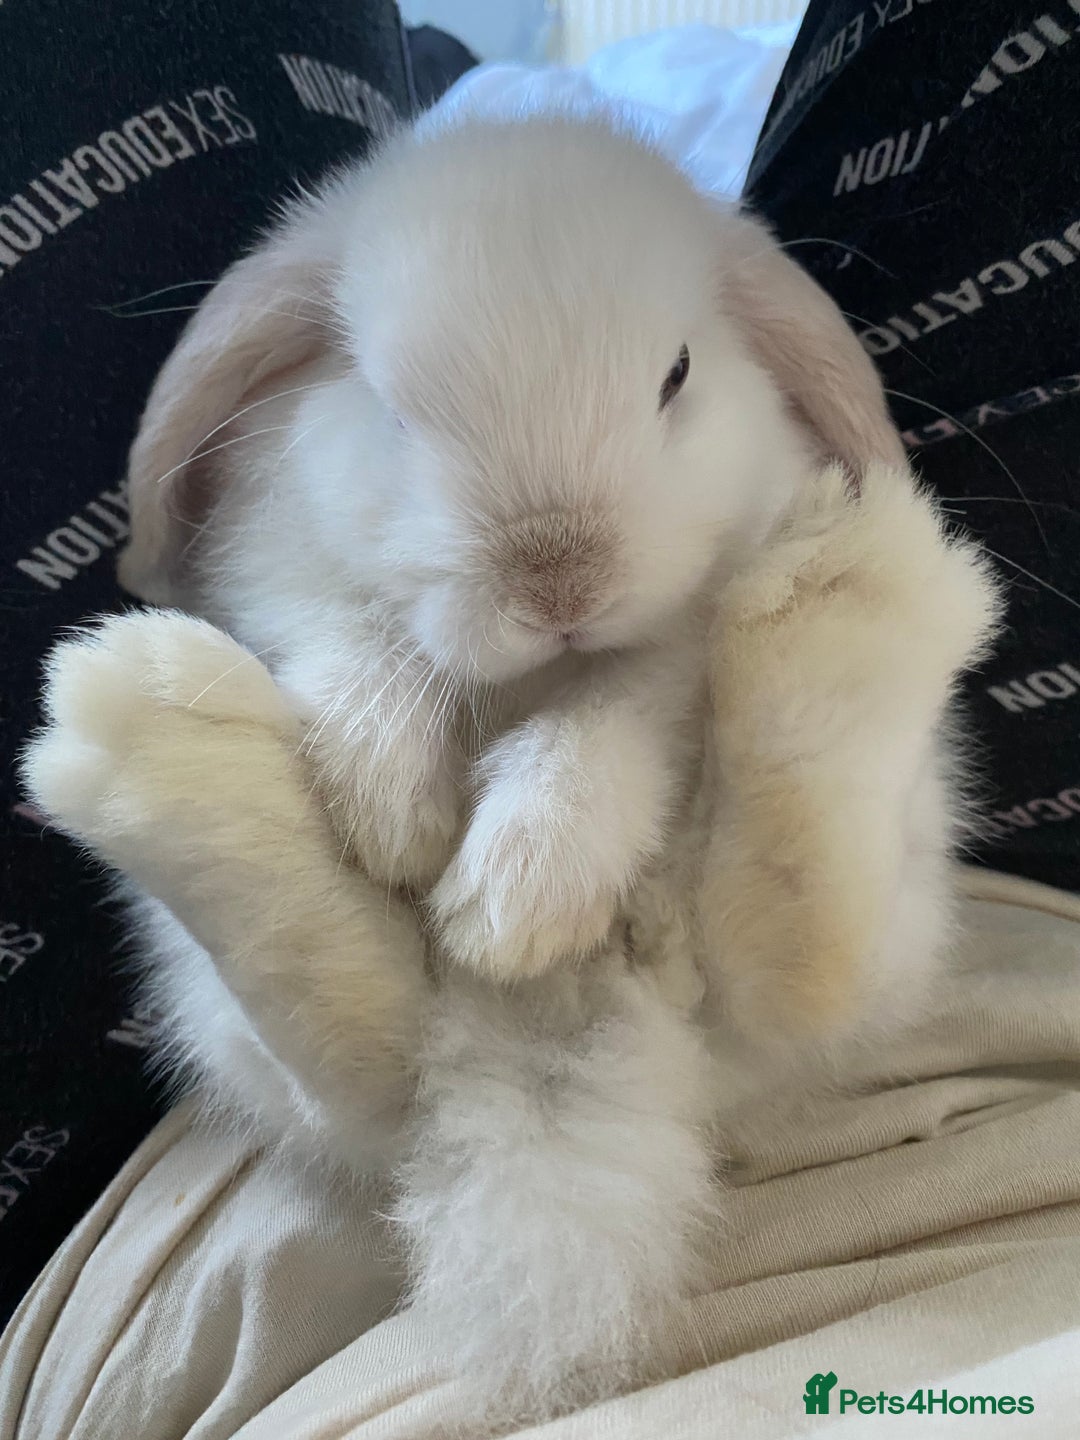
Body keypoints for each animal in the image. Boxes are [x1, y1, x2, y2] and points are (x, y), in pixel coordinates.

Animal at [21, 110, 1000, 1423]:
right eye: (388, 407)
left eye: (676, 374)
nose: (558, 579)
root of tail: (585, 1029)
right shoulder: (276, 570)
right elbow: (353, 643)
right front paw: (388, 807)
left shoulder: (664, 658)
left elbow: (607, 729)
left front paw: (515, 901)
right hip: (235, 1020)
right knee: (358, 1035)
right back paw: (151, 738)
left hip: (882, 903)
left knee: (801, 964)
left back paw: (844, 593)